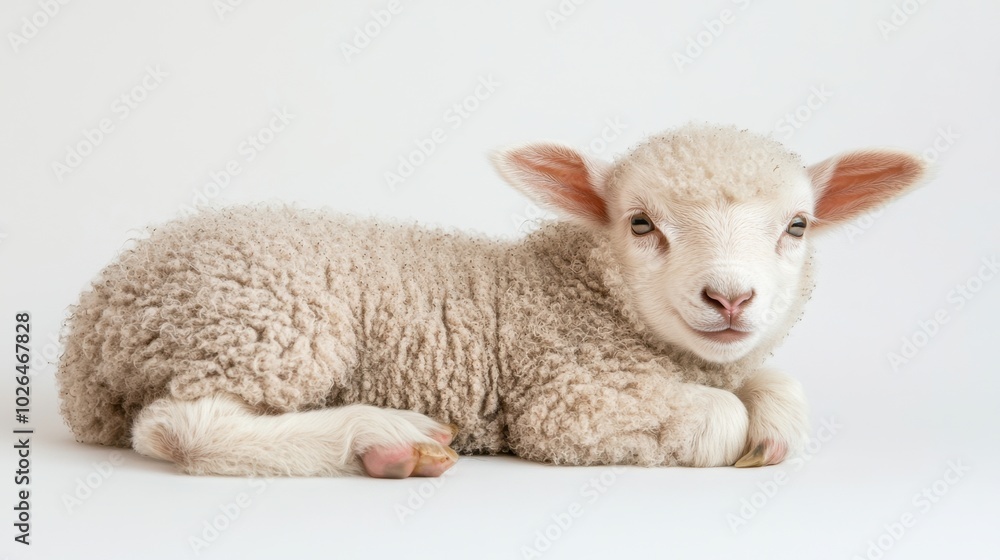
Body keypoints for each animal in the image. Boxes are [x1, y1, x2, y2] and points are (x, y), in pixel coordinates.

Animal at [55, 123, 928, 478]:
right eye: (640, 224)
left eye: (797, 226)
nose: (730, 297)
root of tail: (91, 329)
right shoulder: (571, 397)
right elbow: (717, 416)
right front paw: (741, 430)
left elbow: (773, 385)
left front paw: (771, 424)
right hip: (263, 324)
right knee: (183, 428)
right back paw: (385, 440)